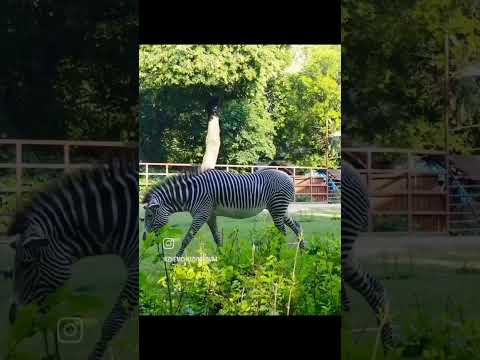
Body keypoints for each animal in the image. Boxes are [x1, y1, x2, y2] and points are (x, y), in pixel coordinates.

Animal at [142, 167, 304, 262]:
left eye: (149, 216)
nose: (144, 238)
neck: (192, 193)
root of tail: (287, 176)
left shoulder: (201, 214)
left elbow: (187, 239)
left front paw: (174, 262)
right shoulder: (210, 215)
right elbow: (217, 238)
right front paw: (222, 259)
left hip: (277, 208)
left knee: (282, 232)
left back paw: (277, 257)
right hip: (279, 208)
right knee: (297, 226)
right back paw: (302, 251)